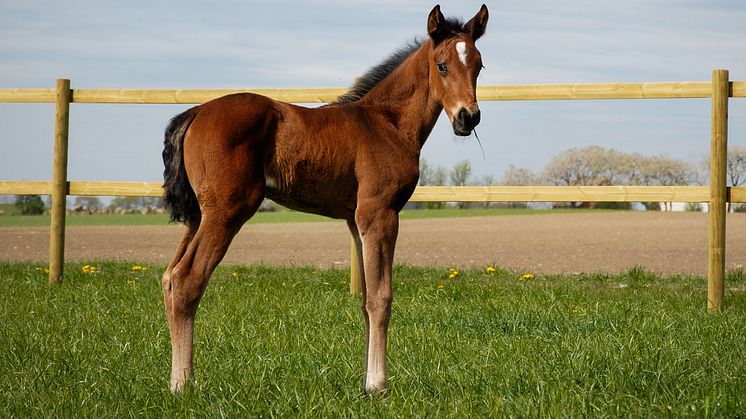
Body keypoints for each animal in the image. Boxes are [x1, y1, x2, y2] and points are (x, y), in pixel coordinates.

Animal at [161, 4, 488, 396]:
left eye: (479, 65)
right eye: (442, 65)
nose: (468, 117)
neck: (387, 122)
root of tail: (194, 113)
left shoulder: (355, 220)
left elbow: (365, 300)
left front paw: (366, 383)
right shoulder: (379, 213)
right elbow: (381, 298)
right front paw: (379, 386)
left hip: (198, 215)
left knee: (169, 277)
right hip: (226, 212)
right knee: (187, 280)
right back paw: (182, 385)